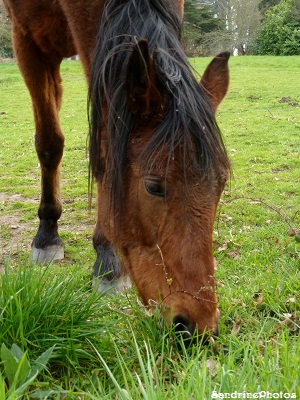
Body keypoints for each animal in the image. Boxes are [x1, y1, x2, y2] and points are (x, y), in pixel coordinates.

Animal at [4, 0, 230, 338]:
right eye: (153, 186)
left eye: (221, 184)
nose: (198, 324)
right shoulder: (27, 40)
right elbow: (50, 144)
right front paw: (48, 236)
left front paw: (106, 258)